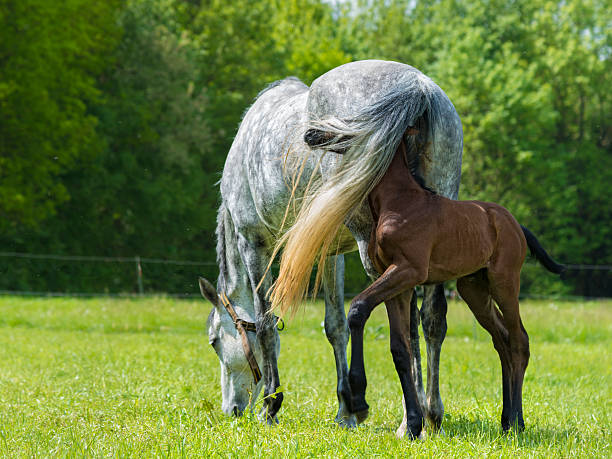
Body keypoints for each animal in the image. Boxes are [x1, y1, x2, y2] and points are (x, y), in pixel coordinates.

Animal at [198, 60, 462, 432]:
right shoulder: (330, 252)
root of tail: (417, 88)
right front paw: (345, 411)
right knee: (431, 319)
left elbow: (265, 324)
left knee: (404, 322)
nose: (231, 409)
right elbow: (335, 326)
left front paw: (271, 406)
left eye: (214, 341)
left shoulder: (253, 244)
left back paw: (410, 418)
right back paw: (430, 413)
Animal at [346, 136, 568, 438]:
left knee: (519, 341)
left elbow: (358, 308)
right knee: (502, 341)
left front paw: (358, 401)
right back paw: (506, 419)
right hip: (474, 290)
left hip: (505, 283)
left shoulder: (408, 270)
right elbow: (400, 348)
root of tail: (516, 225)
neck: (400, 202)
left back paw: (518, 422)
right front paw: (412, 425)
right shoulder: (394, 280)